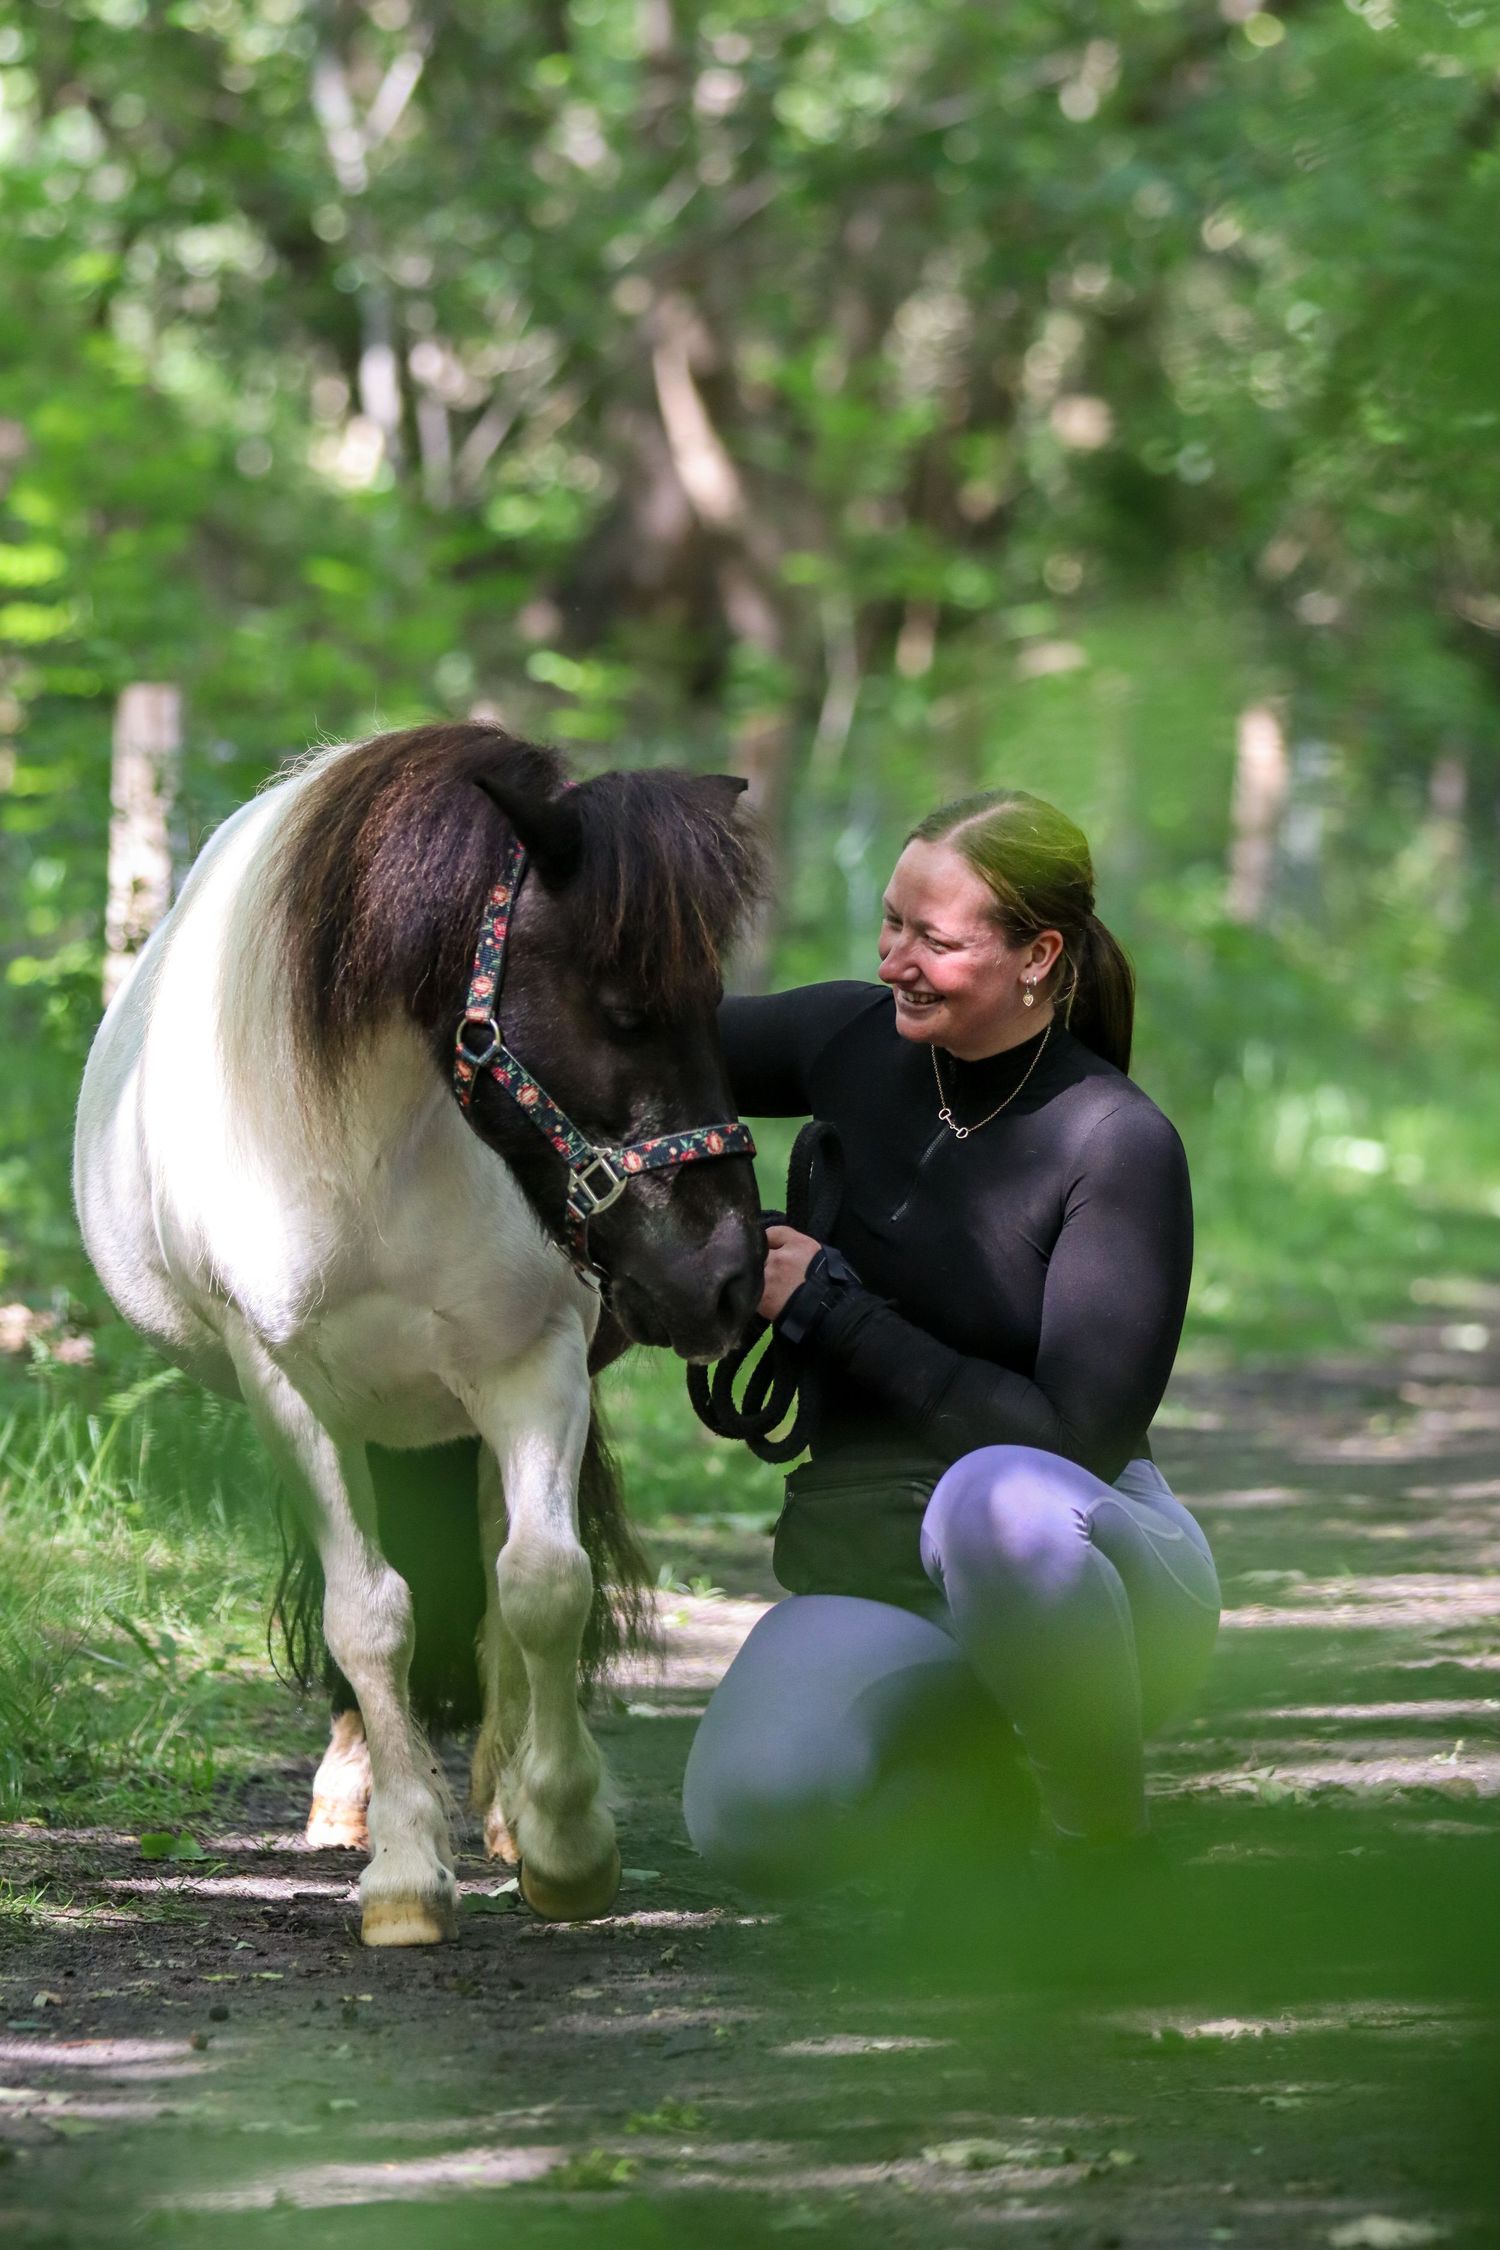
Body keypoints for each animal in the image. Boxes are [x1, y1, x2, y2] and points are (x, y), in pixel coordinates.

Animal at [73, 720, 765, 1944]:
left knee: (494, 1569)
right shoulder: (287, 1391)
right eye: (624, 1010)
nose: (728, 1279)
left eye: (715, 1003)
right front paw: (401, 1869)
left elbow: (541, 1582)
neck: (378, 1150)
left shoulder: (535, 1364)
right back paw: (357, 1792)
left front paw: (564, 1838)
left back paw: (499, 1799)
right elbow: (368, 1614)